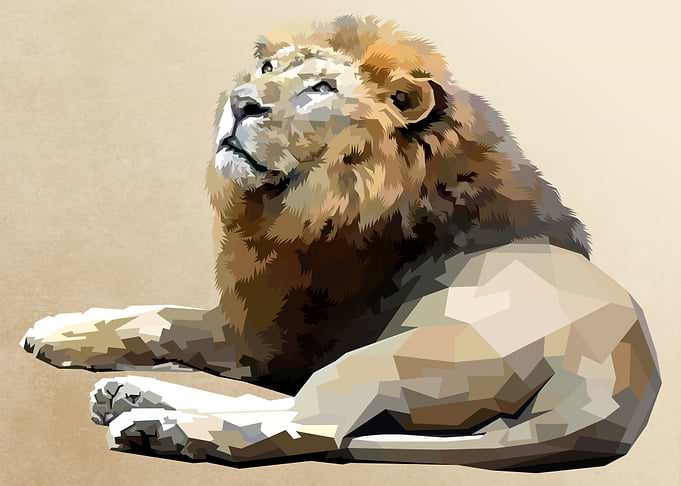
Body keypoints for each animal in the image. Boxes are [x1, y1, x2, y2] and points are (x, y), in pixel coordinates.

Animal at [21, 16, 659, 472]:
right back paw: (131, 397)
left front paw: (59, 334)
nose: (241, 102)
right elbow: (149, 313)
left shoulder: (265, 340)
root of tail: (617, 391)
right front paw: (61, 329)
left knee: (310, 423)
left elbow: (165, 319)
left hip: (405, 350)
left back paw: (159, 425)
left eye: (321, 88)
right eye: (268, 66)